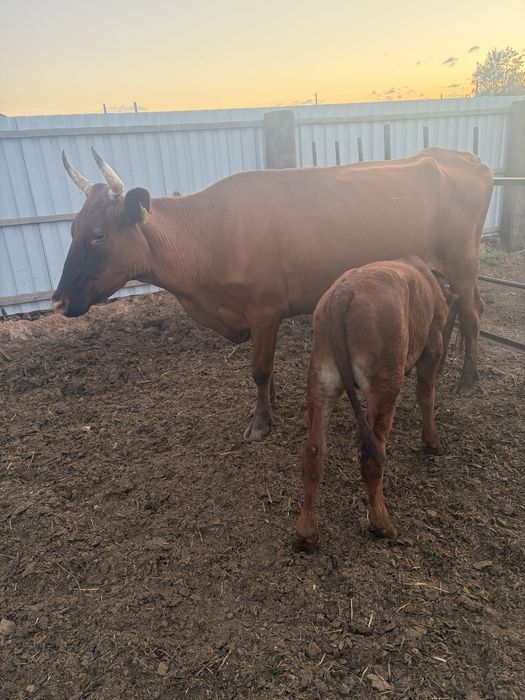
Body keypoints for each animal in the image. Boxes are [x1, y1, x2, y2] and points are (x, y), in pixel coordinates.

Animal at [53, 147, 493, 442]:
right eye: (72, 229)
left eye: (99, 235)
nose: (58, 301)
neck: (209, 234)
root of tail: (459, 157)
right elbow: (268, 368)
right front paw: (267, 403)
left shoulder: (265, 308)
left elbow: (259, 369)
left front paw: (260, 421)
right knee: (456, 306)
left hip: (463, 260)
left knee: (473, 312)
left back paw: (469, 380)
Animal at [295, 256, 458, 549]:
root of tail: (343, 292)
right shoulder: (432, 345)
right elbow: (426, 395)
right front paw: (432, 441)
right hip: (385, 382)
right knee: (372, 455)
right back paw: (381, 522)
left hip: (321, 378)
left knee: (314, 450)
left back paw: (306, 532)